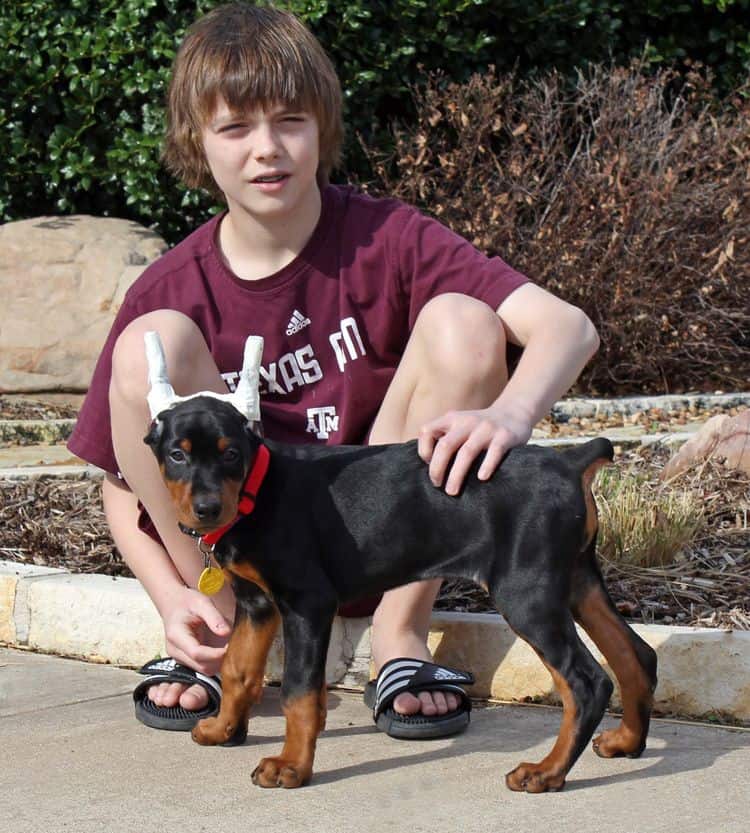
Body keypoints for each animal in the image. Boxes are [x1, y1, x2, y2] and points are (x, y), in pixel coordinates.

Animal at [145, 396, 656, 792]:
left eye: (232, 454)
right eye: (177, 455)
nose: (208, 509)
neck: (257, 490)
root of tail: (569, 461)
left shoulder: (308, 605)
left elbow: (298, 692)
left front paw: (291, 766)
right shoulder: (256, 605)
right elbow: (238, 670)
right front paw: (224, 729)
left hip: (527, 592)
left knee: (587, 682)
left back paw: (547, 773)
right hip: (576, 580)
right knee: (636, 654)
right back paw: (626, 742)